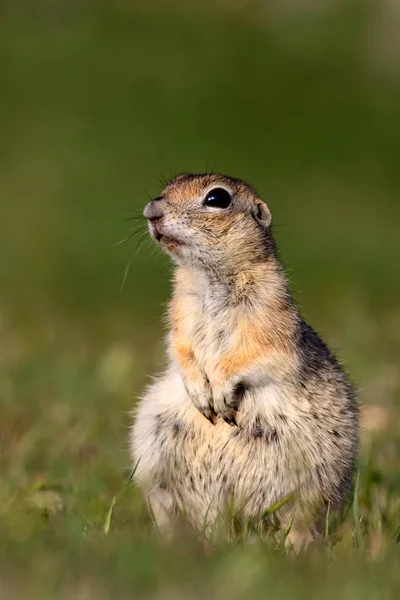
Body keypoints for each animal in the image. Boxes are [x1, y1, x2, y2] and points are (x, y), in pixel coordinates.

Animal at [132, 172, 360, 548]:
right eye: (170, 184)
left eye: (217, 199)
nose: (151, 210)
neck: (208, 278)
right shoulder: (179, 313)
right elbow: (180, 350)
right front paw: (200, 390)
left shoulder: (272, 315)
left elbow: (259, 356)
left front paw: (221, 391)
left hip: (309, 492)